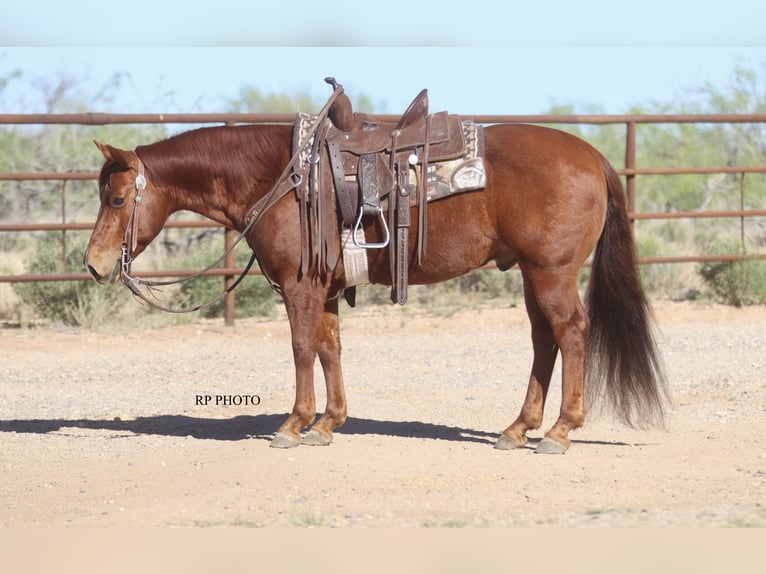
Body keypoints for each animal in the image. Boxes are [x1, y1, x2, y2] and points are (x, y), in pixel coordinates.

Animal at [84, 108, 667, 455]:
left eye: (116, 198)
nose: (93, 263)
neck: (282, 178)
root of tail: (590, 155)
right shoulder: (324, 289)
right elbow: (329, 347)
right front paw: (327, 423)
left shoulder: (299, 286)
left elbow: (301, 347)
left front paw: (293, 425)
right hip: (531, 273)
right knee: (544, 339)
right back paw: (517, 428)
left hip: (552, 272)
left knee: (571, 332)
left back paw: (561, 431)